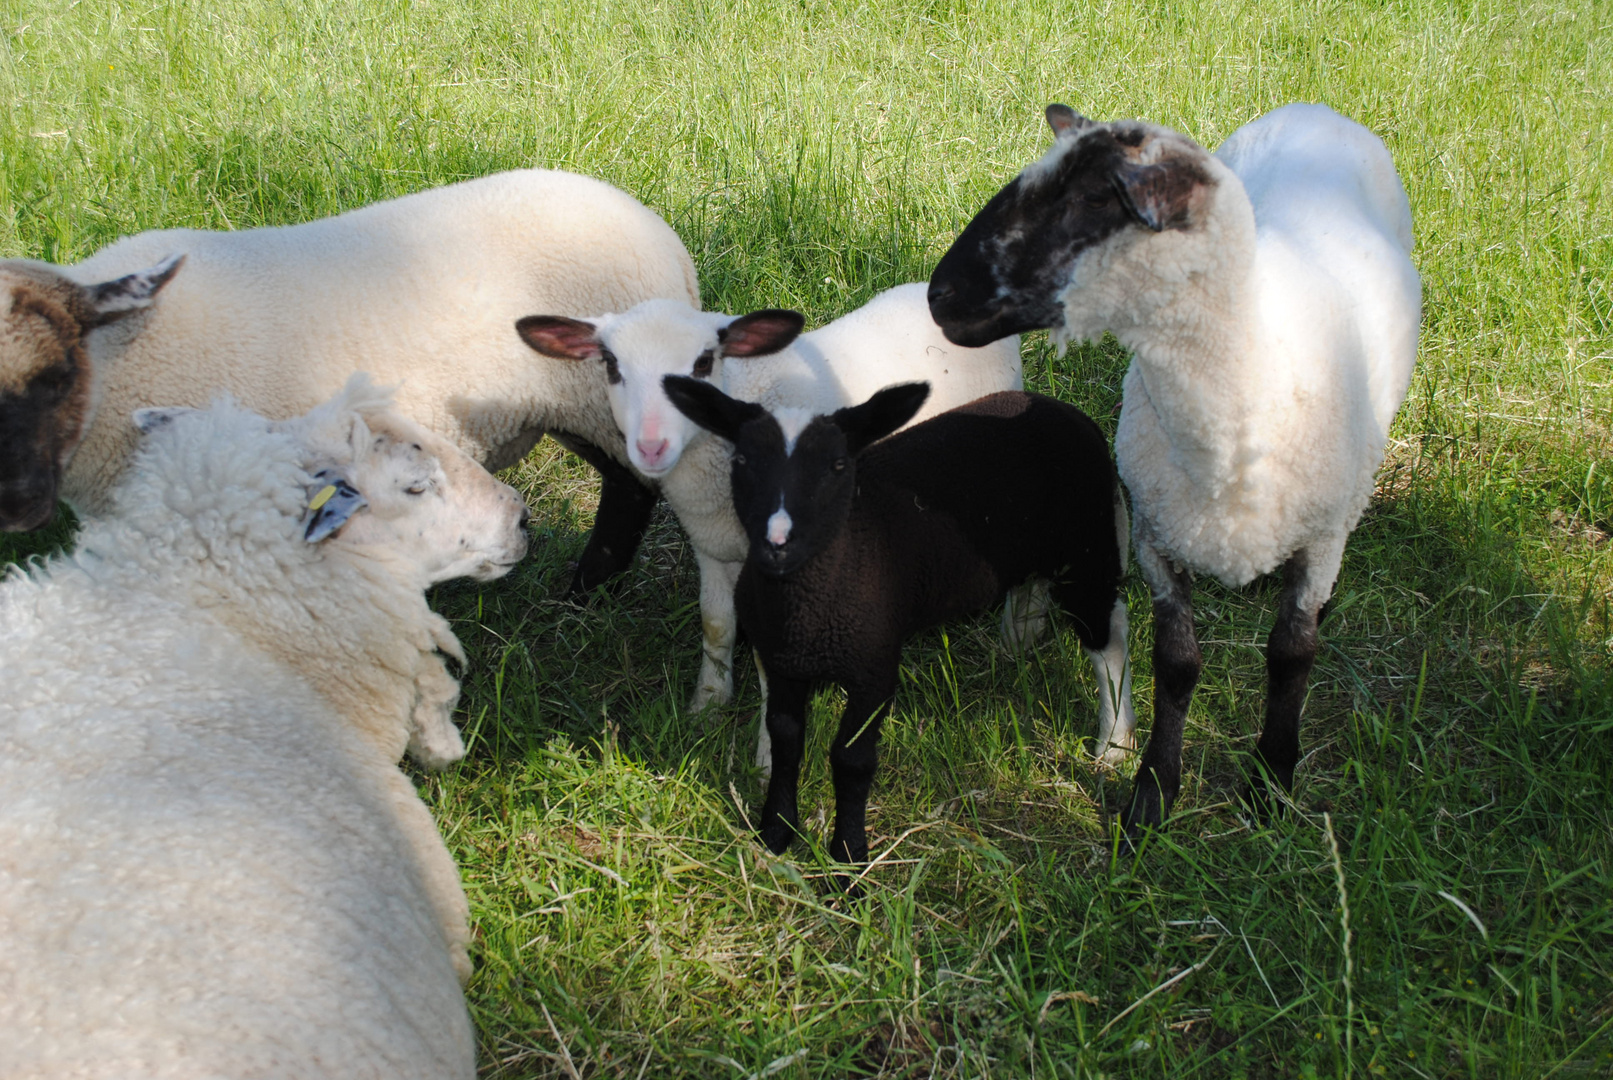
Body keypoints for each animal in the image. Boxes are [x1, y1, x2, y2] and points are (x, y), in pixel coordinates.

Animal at [512, 285, 1019, 735]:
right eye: (612, 365)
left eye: (703, 363)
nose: (651, 447)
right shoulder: (711, 547)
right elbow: (716, 625)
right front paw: (707, 706)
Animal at [929, 103, 1419, 844]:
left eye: (1095, 199)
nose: (941, 296)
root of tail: (1315, 110)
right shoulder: (1158, 536)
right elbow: (1176, 664)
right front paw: (1152, 794)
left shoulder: (1321, 536)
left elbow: (1291, 654)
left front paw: (1270, 783)